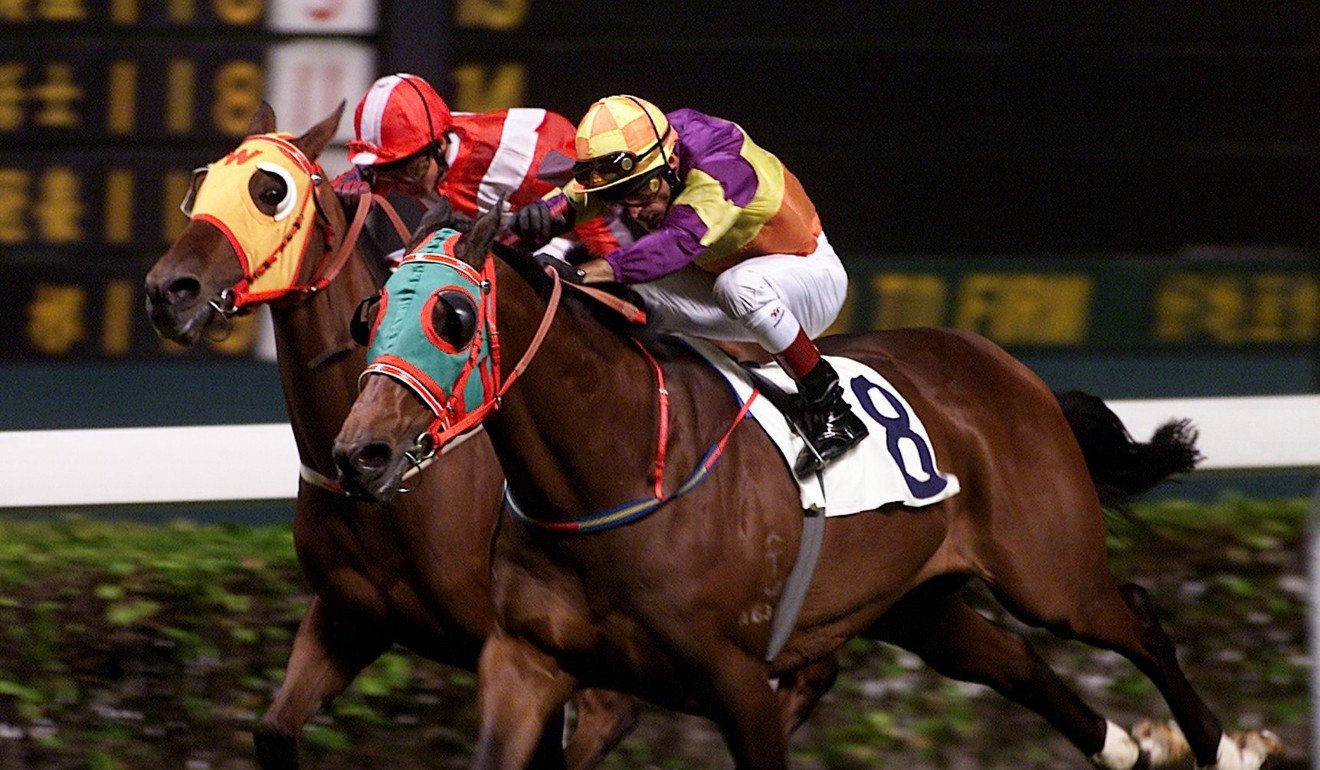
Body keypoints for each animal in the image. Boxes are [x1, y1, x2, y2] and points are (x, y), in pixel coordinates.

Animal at [141, 103, 652, 770]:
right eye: (200, 189)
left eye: (270, 191)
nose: (167, 291)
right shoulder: (348, 619)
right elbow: (274, 730)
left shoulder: (524, 652)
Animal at [335, 206, 1283, 770]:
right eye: (366, 314)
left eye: (453, 316)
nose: (360, 455)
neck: (610, 467)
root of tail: (1015, 373)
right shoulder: (526, 659)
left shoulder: (737, 679)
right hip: (920, 604)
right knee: (1013, 662)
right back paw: (1123, 745)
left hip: (1048, 570)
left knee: (1134, 614)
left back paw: (1223, 745)